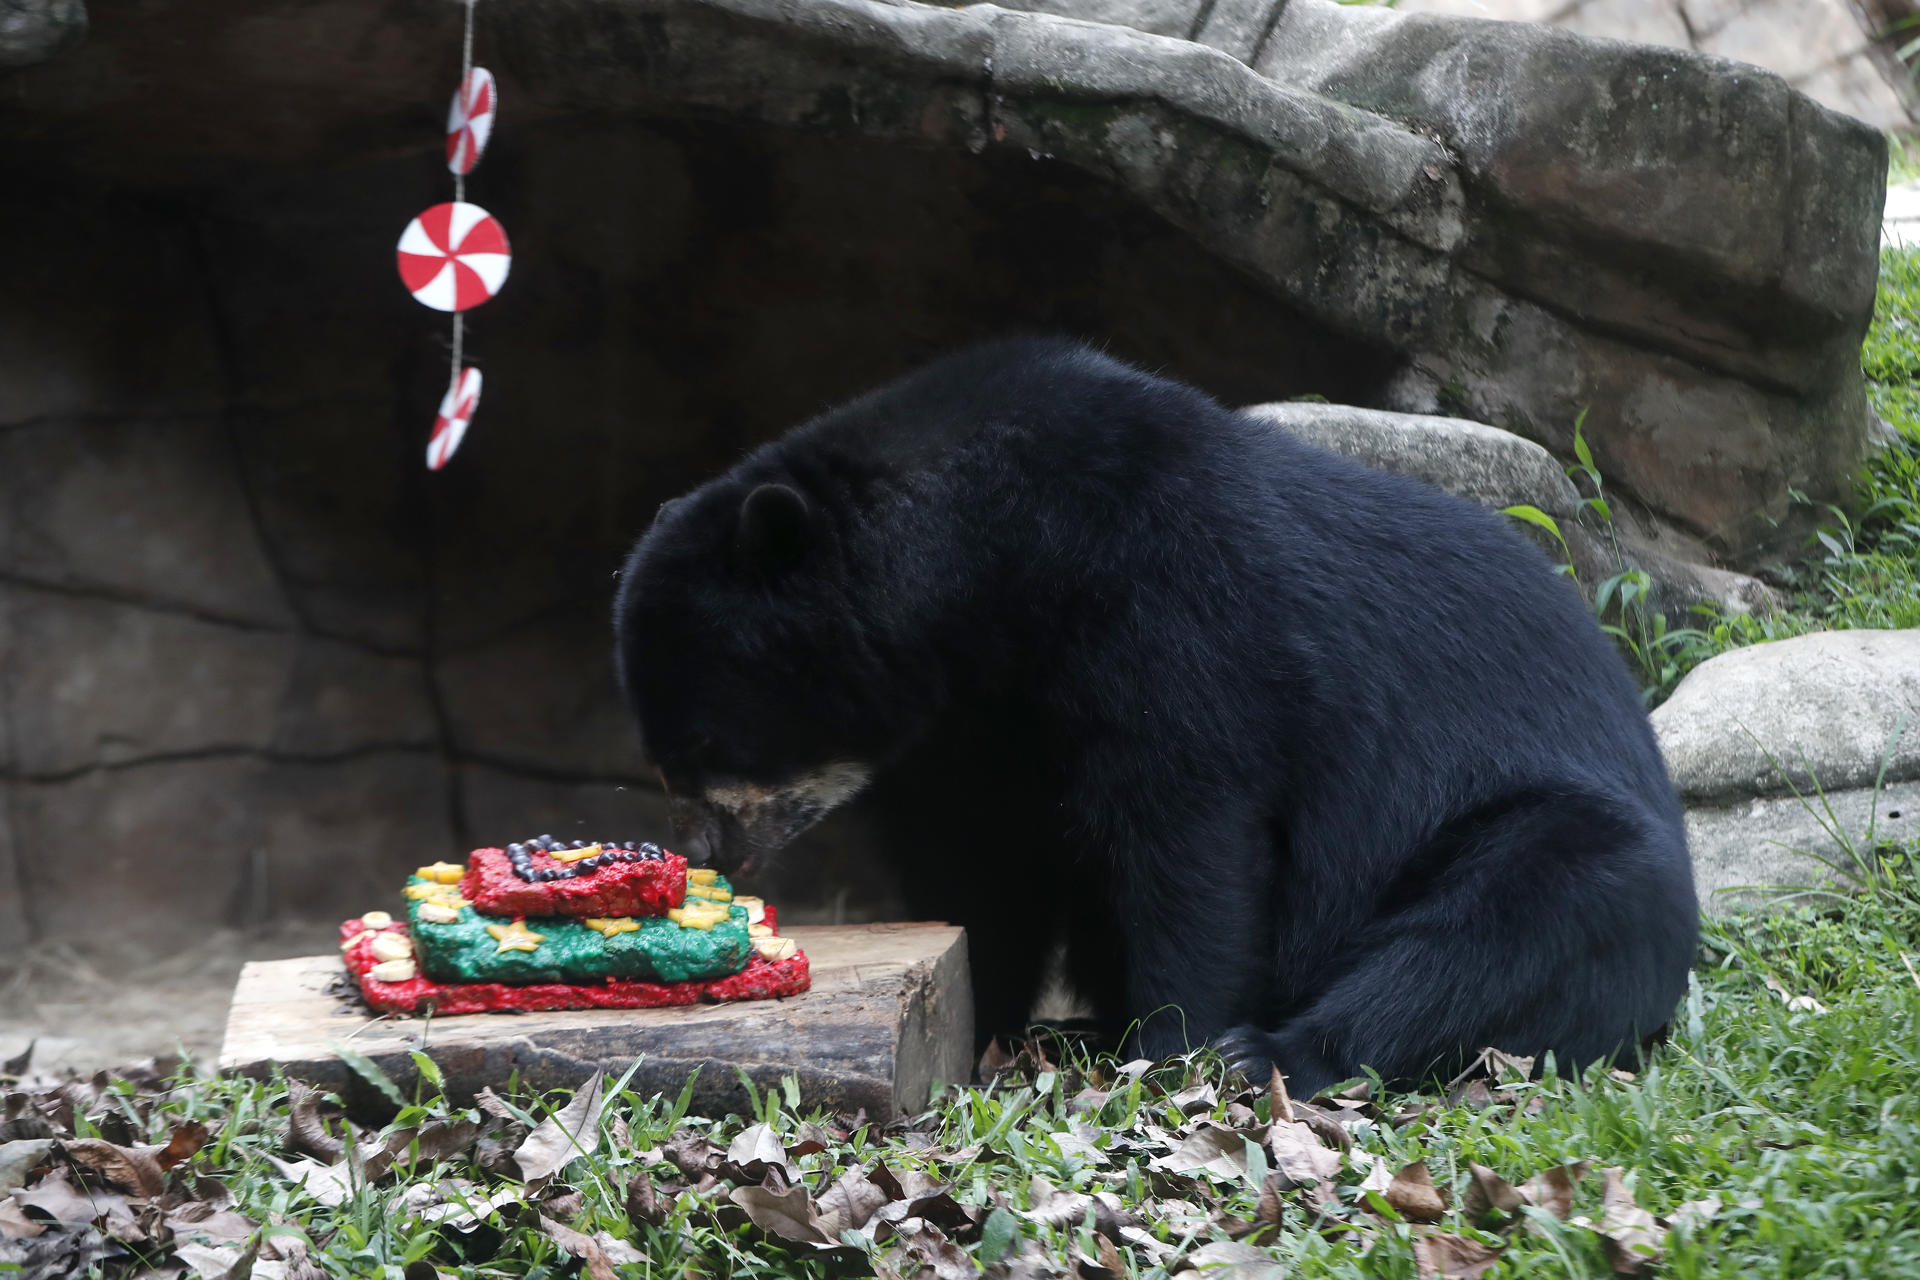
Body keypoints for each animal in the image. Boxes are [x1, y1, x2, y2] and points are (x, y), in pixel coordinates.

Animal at [614, 337, 1697, 1090]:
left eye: (708, 744)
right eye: (662, 757)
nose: (706, 852)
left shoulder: (1172, 607)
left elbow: (1188, 833)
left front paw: (1169, 1040)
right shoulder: (966, 726)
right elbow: (983, 867)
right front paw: (983, 1017)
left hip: (1544, 828)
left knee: (1512, 923)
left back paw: (1269, 1050)